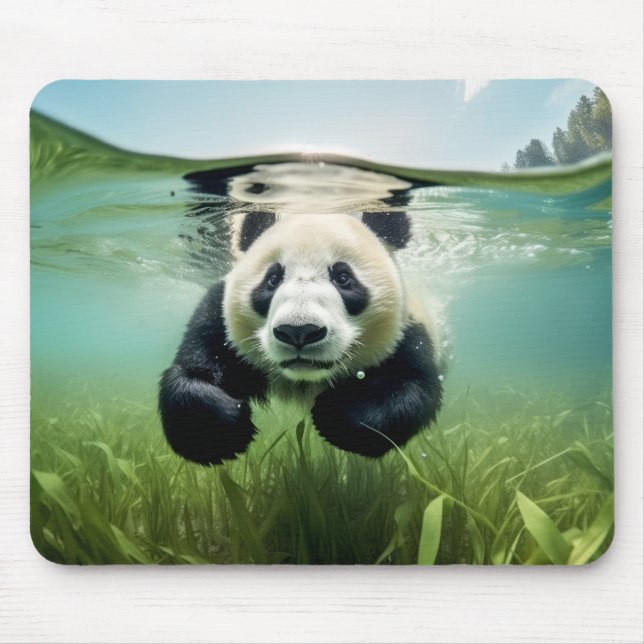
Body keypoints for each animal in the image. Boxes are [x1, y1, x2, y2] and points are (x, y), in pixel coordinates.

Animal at [159, 209, 443, 464]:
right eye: (273, 279)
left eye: (343, 277)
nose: (299, 331)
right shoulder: (220, 321)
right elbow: (193, 371)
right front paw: (219, 430)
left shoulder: (407, 329)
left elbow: (409, 386)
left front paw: (338, 414)